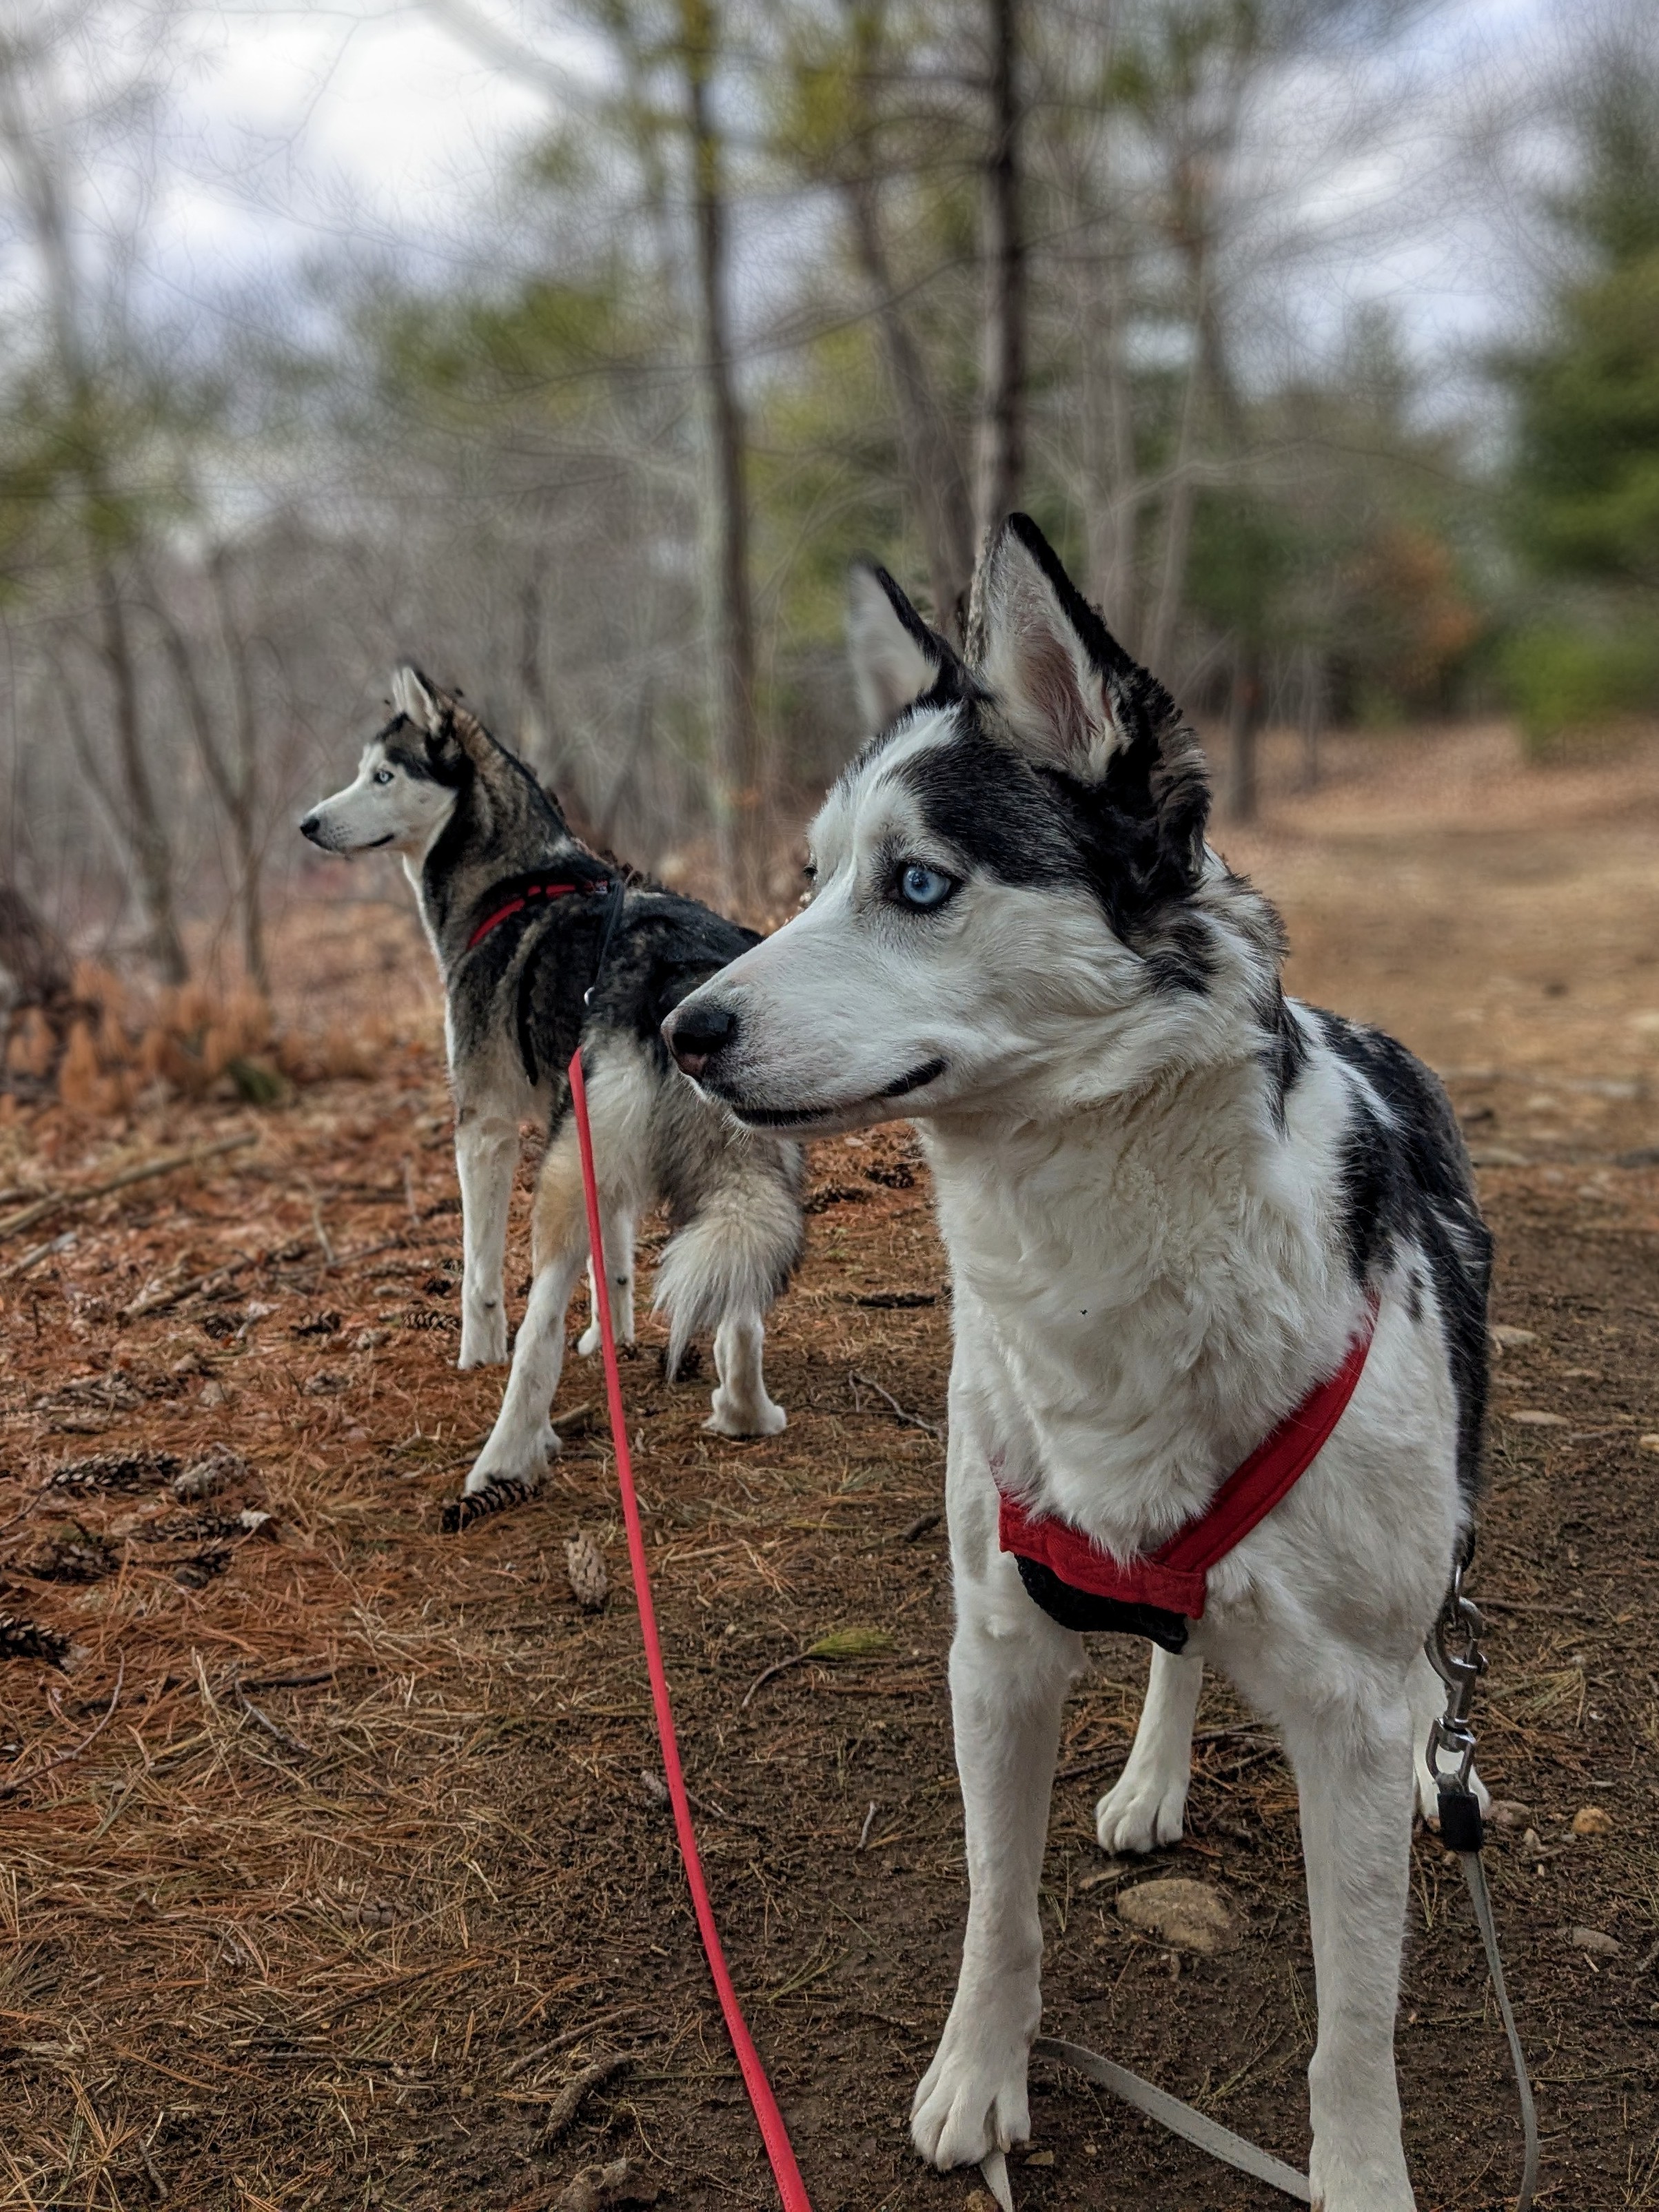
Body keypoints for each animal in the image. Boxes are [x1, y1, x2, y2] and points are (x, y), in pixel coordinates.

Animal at [299, 667, 802, 1492]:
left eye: (381, 776)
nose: (308, 824)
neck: (516, 879)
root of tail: (674, 974)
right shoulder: (603, 1160)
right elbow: (617, 1264)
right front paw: (612, 1339)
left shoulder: (485, 1129)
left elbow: (478, 1274)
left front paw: (477, 1354)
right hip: (737, 1175)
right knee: (741, 1304)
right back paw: (745, 1413)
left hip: (558, 1186)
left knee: (538, 1334)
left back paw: (506, 1456)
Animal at [661, 517, 1492, 2210]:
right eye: (809, 882)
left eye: (918, 884)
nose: (681, 1029)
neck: (1101, 1256)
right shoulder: (995, 1647)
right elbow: (999, 1908)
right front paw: (981, 2080)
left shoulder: (1353, 1718)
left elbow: (1352, 2024)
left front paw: (1359, 2177)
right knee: (1174, 1645)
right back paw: (1152, 1776)